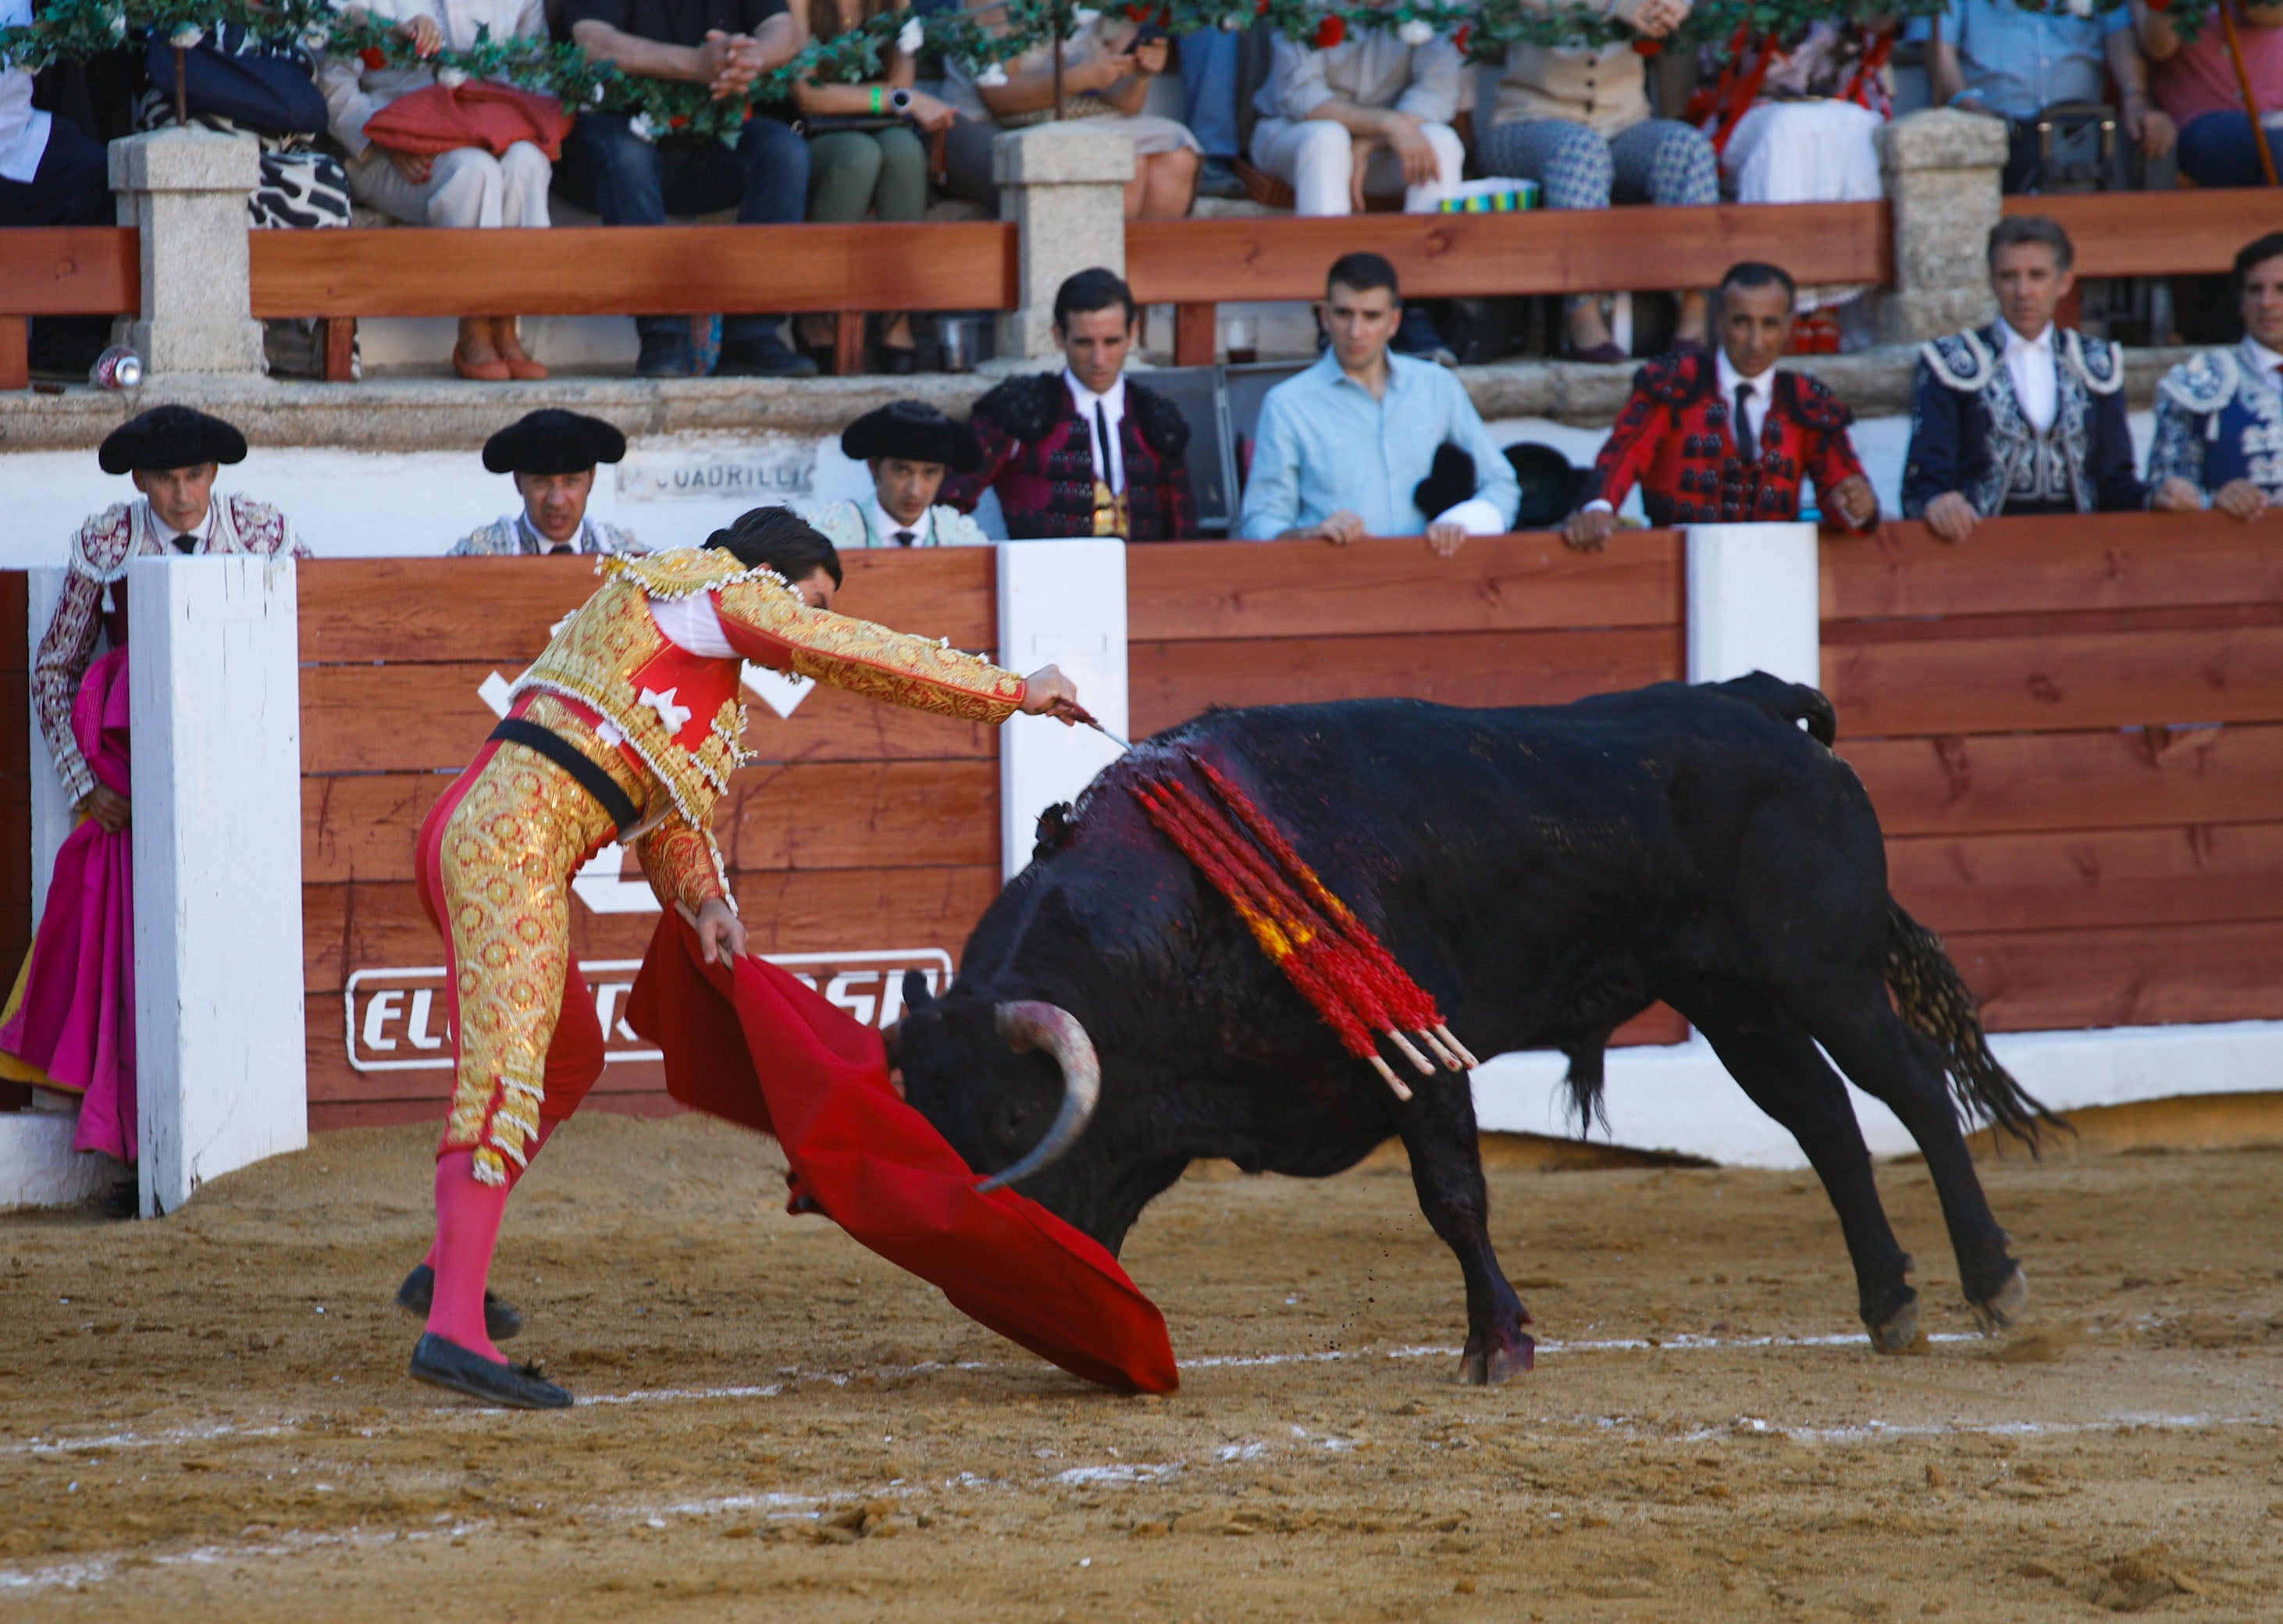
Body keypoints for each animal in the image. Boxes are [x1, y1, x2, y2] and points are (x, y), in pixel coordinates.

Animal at [890, 671, 2054, 1388]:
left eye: (1012, 1118)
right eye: (929, 1121)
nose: (981, 1273)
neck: (1176, 915)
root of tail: (1760, 705)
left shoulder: (1422, 1054)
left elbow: (1452, 1197)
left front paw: (1497, 1346)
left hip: (1820, 973)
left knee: (1911, 1087)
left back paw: (1992, 1281)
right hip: (1733, 998)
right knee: (1823, 1118)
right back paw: (1889, 1300)